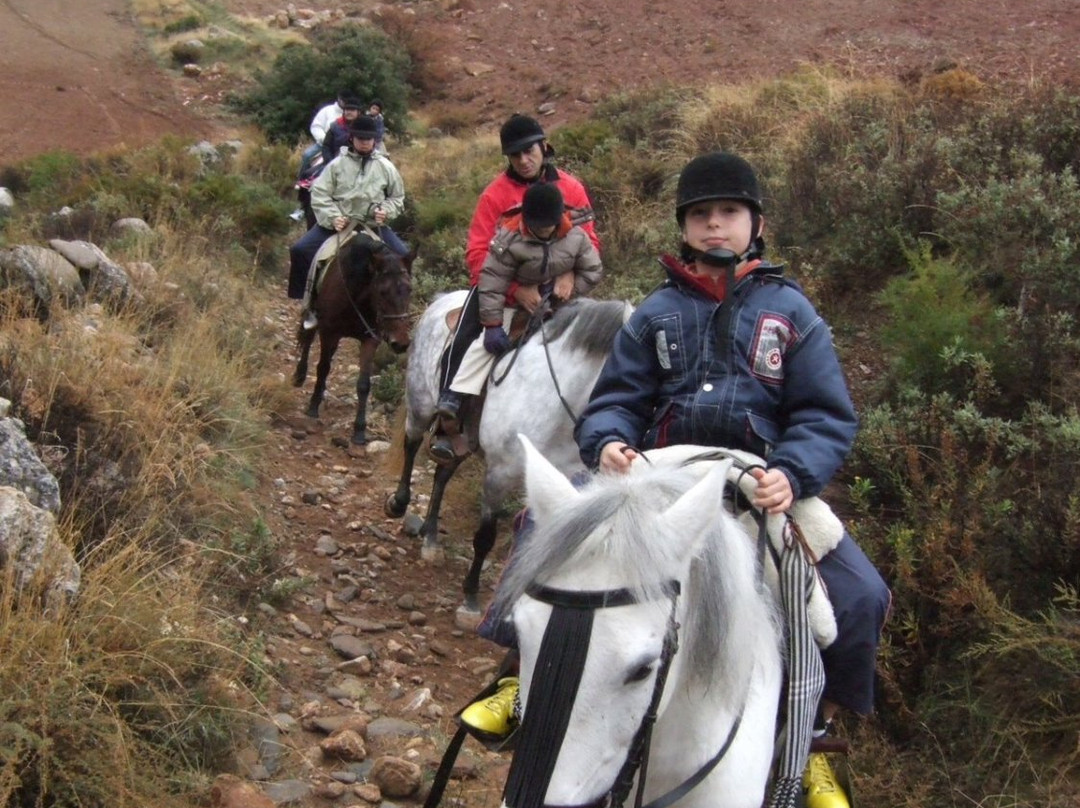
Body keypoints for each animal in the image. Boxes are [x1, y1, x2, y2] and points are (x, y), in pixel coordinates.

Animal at [291, 233, 412, 447]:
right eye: (382, 292)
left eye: (409, 289)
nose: (401, 343)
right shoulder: (329, 332)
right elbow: (323, 368)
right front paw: (313, 406)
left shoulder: (370, 340)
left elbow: (364, 384)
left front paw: (359, 430)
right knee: (308, 340)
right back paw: (300, 375)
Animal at [384, 289, 630, 617]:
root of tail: (443, 299)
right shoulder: (499, 475)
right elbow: (485, 537)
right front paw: (471, 598)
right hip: (421, 405)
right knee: (412, 445)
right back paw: (398, 504)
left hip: (462, 438)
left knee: (442, 473)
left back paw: (431, 538)